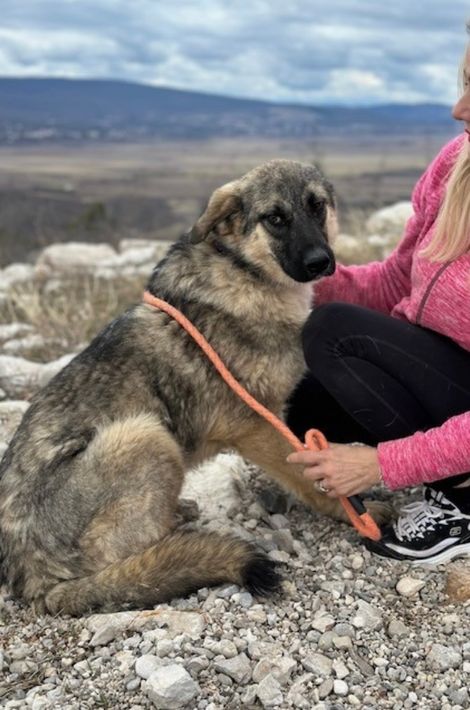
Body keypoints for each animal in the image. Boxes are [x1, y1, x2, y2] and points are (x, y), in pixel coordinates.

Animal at [0, 159, 389, 615]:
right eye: (275, 218)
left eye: (317, 206)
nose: (320, 262)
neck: (243, 272)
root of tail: (32, 579)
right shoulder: (257, 425)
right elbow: (311, 478)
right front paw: (353, 511)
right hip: (146, 434)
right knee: (135, 559)